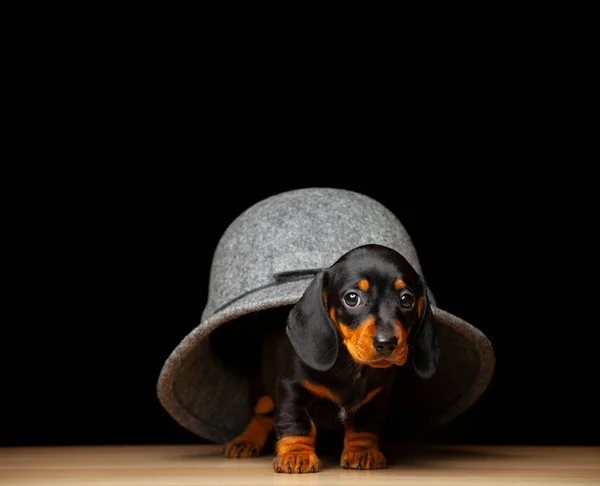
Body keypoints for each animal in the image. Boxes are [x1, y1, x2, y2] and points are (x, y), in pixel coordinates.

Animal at [223, 245, 438, 472]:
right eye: (352, 298)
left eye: (407, 300)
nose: (387, 343)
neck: (351, 368)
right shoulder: (291, 388)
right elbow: (296, 424)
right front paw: (296, 454)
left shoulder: (373, 399)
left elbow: (364, 427)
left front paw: (361, 451)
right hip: (262, 392)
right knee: (261, 416)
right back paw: (245, 441)